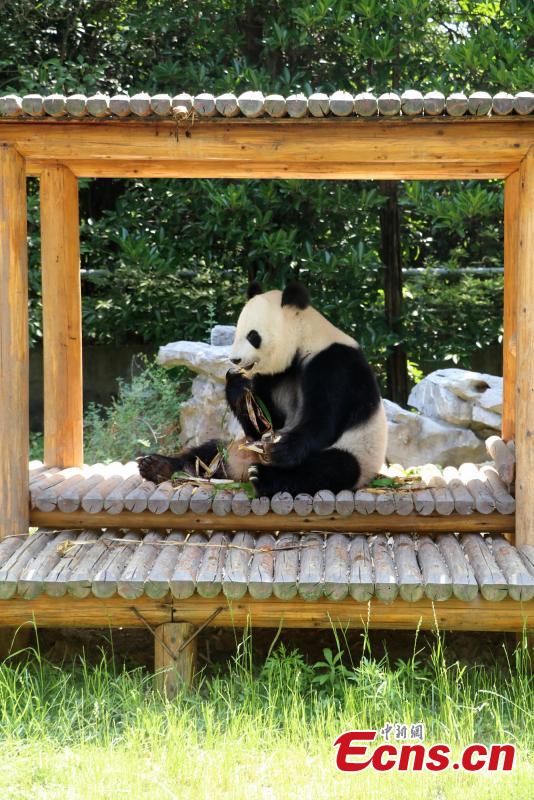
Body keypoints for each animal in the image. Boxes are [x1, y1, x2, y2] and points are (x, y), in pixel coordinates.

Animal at [140, 280, 388, 494]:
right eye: (237, 332)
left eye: (253, 336)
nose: (235, 360)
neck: (305, 341)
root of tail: (239, 468)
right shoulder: (272, 377)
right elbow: (265, 423)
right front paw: (238, 385)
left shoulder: (334, 364)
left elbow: (322, 421)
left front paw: (281, 449)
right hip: (234, 445)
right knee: (209, 451)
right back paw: (158, 466)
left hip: (360, 453)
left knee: (332, 468)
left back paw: (263, 477)